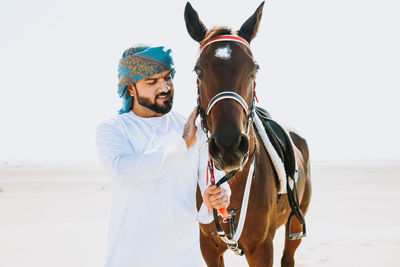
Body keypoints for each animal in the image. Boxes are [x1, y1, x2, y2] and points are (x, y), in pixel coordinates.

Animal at [184, 2, 312, 267]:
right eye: (198, 70)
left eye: (255, 68)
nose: (229, 147)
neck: (233, 179)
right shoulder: (208, 247)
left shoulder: (261, 249)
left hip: (296, 223)